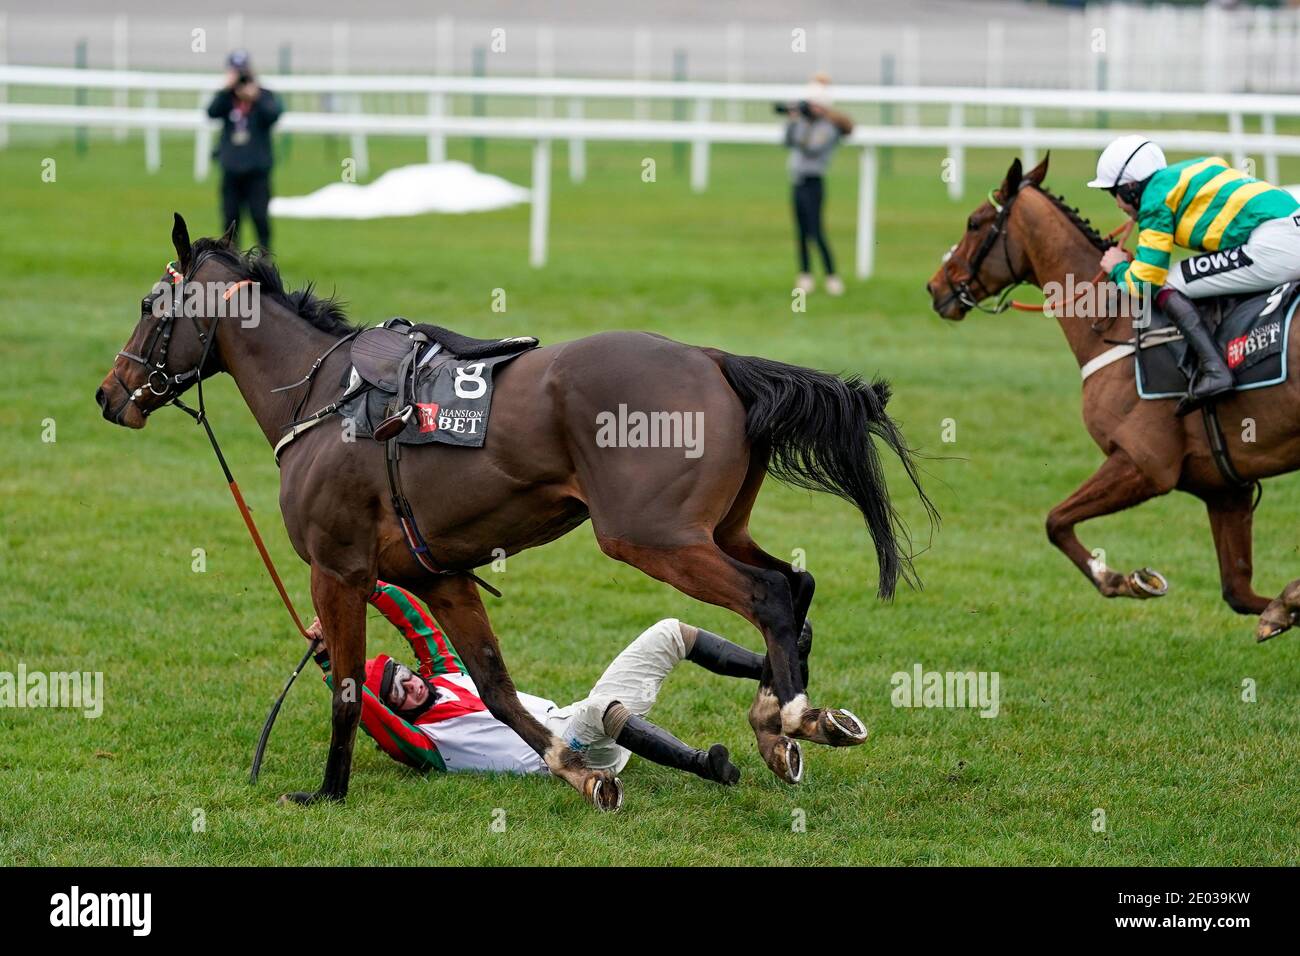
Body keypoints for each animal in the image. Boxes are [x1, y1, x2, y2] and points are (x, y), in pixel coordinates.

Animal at [98, 214, 935, 806]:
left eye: (150, 304)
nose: (110, 394)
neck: (327, 397)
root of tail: (714, 360)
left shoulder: (337, 571)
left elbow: (345, 687)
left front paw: (329, 790)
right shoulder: (441, 577)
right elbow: (496, 690)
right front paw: (580, 769)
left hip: (651, 536)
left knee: (769, 595)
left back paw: (790, 718)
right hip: (715, 529)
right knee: (796, 589)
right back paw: (781, 723)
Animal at [925, 155, 1300, 642]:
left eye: (974, 222)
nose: (935, 288)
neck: (1116, 321)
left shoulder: (1145, 463)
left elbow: (1055, 521)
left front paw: (1125, 580)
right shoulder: (1224, 488)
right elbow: (1240, 593)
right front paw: (1283, 607)